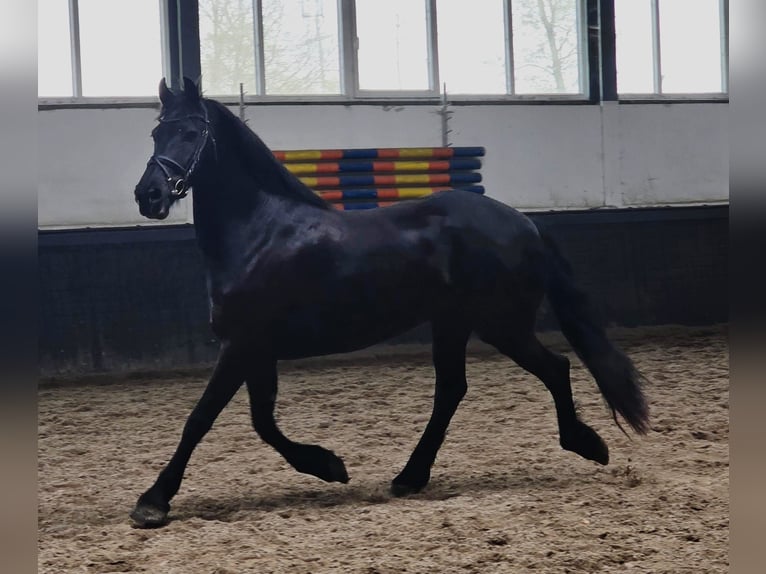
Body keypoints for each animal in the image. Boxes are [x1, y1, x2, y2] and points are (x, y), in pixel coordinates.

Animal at [130, 77, 649, 527]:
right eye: (156, 131)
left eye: (191, 132)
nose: (148, 195)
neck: (259, 233)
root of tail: (525, 224)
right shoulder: (256, 349)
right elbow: (262, 421)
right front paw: (327, 465)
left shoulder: (241, 345)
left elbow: (201, 419)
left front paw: (153, 502)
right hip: (453, 322)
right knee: (452, 390)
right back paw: (410, 477)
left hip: (501, 324)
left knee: (554, 368)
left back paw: (585, 443)